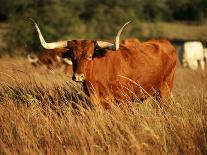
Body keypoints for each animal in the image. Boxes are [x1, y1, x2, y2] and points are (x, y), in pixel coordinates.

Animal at [30, 19, 176, 108]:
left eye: (90, 56)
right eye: (72, 56)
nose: (78, 77)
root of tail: (163, 42)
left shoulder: (124, 101)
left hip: (165, 89)